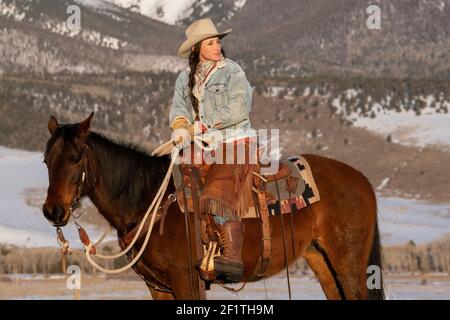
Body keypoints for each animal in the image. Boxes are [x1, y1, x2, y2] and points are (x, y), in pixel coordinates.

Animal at [41, 114, 384, 302]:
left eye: (75, 158)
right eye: (46, 160)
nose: (53, 211)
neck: (150, 201)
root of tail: (363, 180)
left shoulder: (186, 279)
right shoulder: (158, 285)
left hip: (350, 264)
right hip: (322, 261)